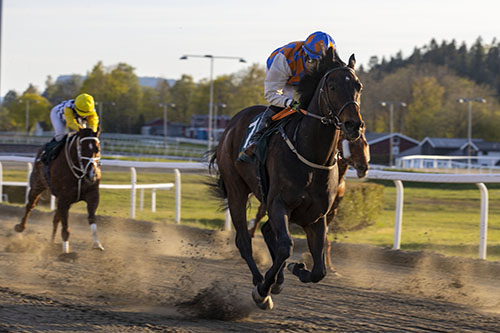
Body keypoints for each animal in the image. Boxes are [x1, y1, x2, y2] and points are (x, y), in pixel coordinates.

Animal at [14, 127, 103, 256]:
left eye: (97, 149)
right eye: (82, 149)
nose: (92, 174)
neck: (80, 173)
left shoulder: (92, 194)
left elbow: (91, 218)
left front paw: (97, 243)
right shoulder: (64, 198)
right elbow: (65, 225)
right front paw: (66, 250)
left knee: (56, 218)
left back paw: (52, 242)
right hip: (37, 184)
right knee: (30, 205)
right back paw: (20, 227)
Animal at [209, 48, 366, 308]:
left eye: (358, 86)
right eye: (332, 86)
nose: (354, 125)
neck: (311, 155)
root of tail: (232, 124)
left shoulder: (316, 216)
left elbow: (319, 269)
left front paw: (297, 269)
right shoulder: (279, 204)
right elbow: (285, 247)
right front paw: (264, 289)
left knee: (265, 230)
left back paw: (278, 278)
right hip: (237, 190)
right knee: (244, 240)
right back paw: (261, 284)